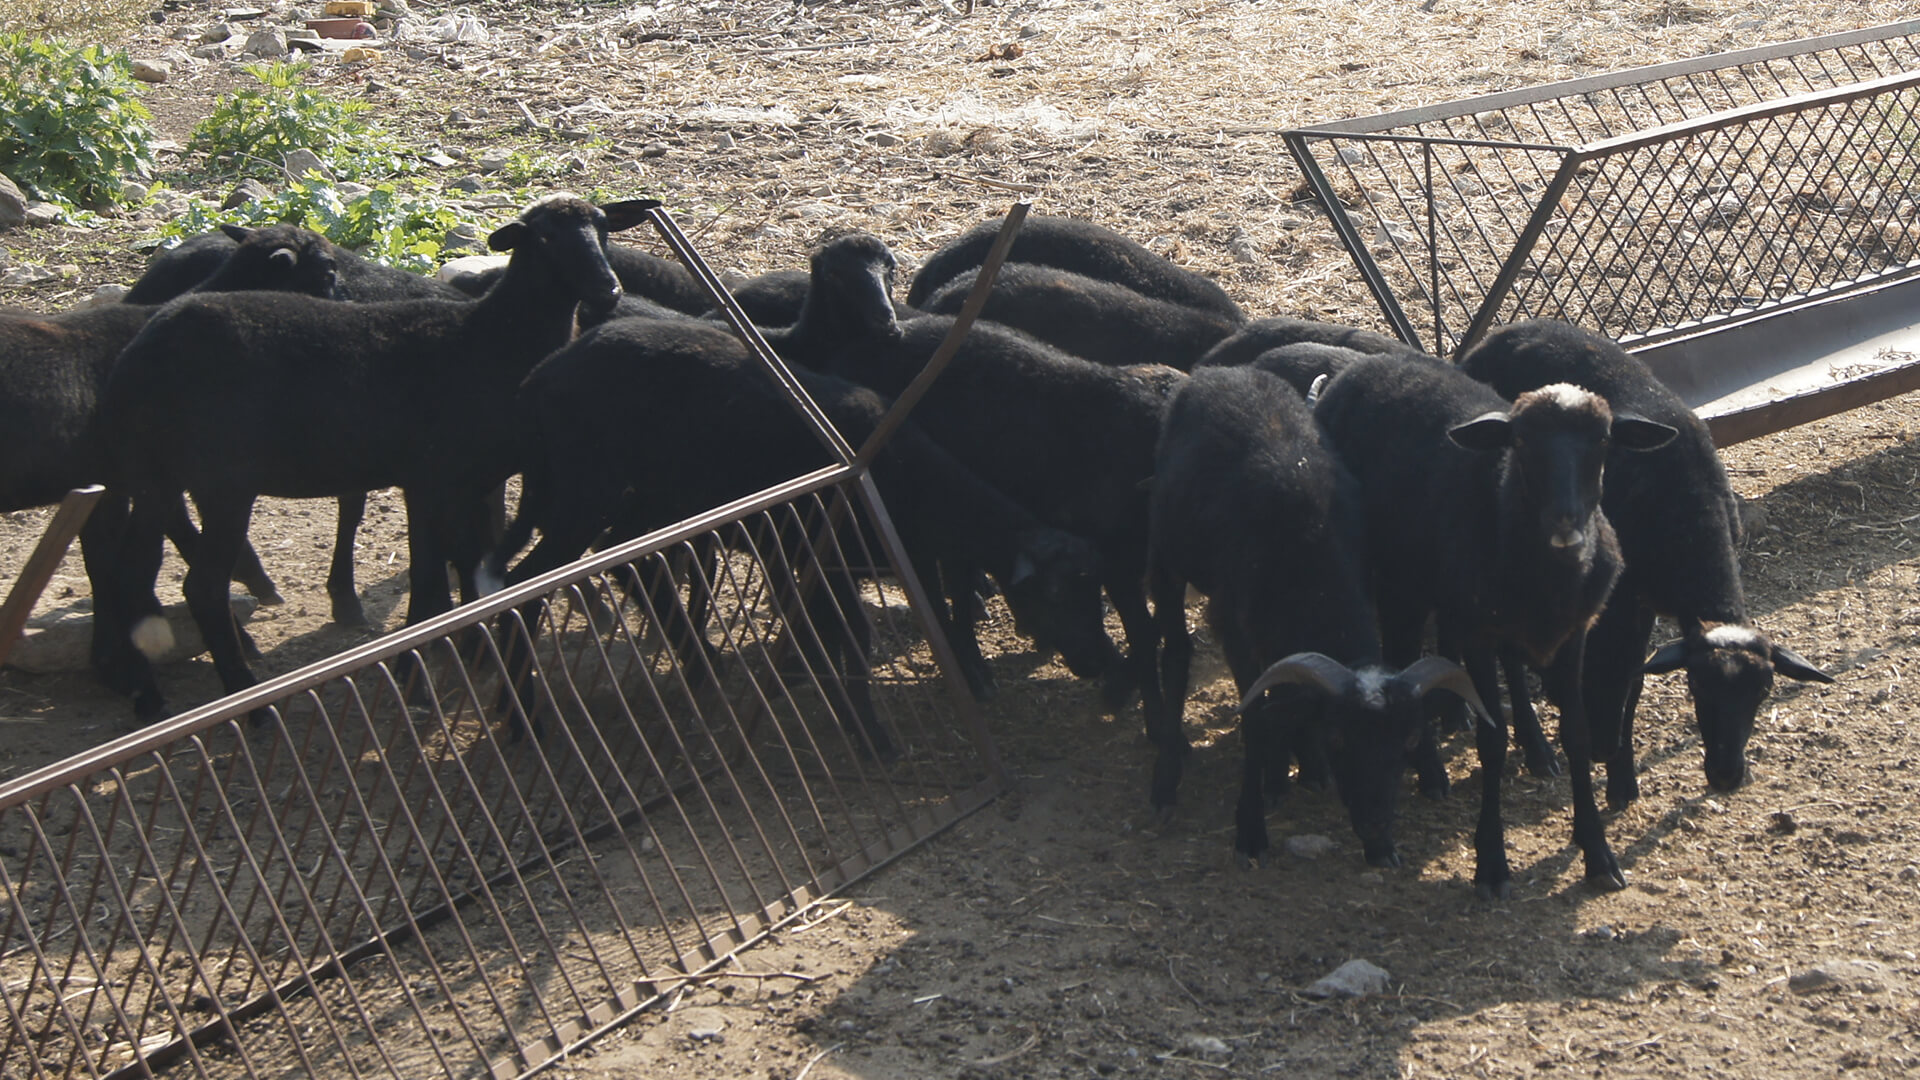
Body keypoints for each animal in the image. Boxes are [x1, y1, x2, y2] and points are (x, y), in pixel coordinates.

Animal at [1144, 365, 1489, 860]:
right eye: (1339, 737)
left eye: (1407, 739)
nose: (1376, 826)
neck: (1307, 541)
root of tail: (1219, 371)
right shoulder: (1234, 627)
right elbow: (1255, 717)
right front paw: (1251, 829)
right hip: (1166, 560)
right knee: (1175, 657)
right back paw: (1166, 783)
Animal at [1459, 315, 1835, 803]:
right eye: (1697, 684)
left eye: (1764, 690)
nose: (1726, 775)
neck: (1690, 514)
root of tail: (1499, 335)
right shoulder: (1622, 599)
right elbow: (1621, 676)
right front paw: (1613, 766)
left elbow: (1634, 680)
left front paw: (1623, 776)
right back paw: (1537, 747)